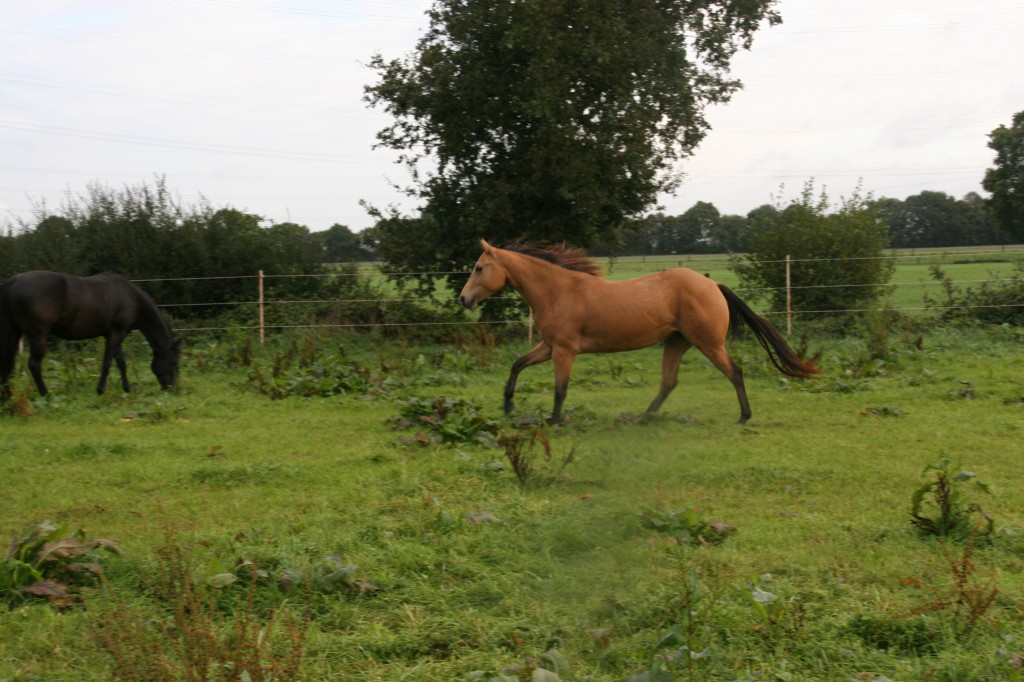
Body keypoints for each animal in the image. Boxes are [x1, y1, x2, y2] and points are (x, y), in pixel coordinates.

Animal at [0, 270, 180, 399]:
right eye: (172, 362)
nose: (173, 388)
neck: (130, 297)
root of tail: (13, 281)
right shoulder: (117, 332)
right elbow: (108, 363)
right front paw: (100, 390)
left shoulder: (114, 334)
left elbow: (121, 363)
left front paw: (127, 389)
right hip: (38, 336)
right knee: (34, 365)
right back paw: (46, 396)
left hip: (16, 334)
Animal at [460, 238, 819, 419]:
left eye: (479, 268)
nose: (464, 299)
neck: (558, 291)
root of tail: (713, 285)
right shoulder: (549, 347)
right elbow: (517, 365)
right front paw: (508, 406)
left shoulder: (564, 350)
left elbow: (560, 389)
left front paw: (554, 421)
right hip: (676, 343)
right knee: (669, 382)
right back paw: (643, 417)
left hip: (708, 344)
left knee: (735, 372)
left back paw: (744, 416)